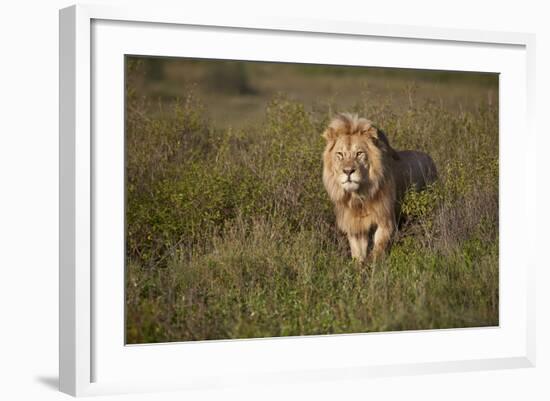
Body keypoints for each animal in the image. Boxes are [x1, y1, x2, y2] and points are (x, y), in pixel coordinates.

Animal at [322, 113, 438, 262]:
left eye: (359, 153)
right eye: (340, 154)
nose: (348, 171)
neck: (359, 196)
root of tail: (430, 158)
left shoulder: (385, 220)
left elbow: (378, 249)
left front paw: (374, 265)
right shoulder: (356, 227)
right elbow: (357, 255)